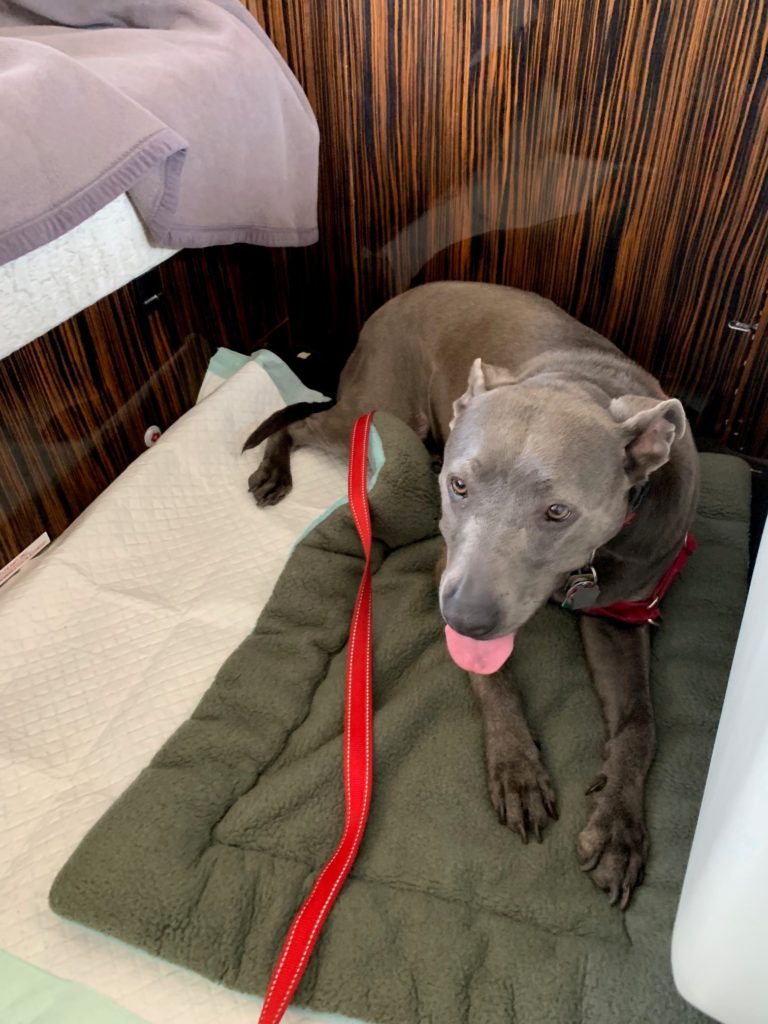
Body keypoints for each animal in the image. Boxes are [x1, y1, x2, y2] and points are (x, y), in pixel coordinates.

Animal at [243, 282, 700, 913]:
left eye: (558, 511)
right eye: (459, 486)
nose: (463, 617)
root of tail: (392, 303)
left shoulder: (621, 615)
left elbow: (640, 721)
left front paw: (618, 826)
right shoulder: (449, 564)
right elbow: (494, 679)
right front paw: (517, 767)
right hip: (381, 408)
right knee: (304, 423)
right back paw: (274, 467)